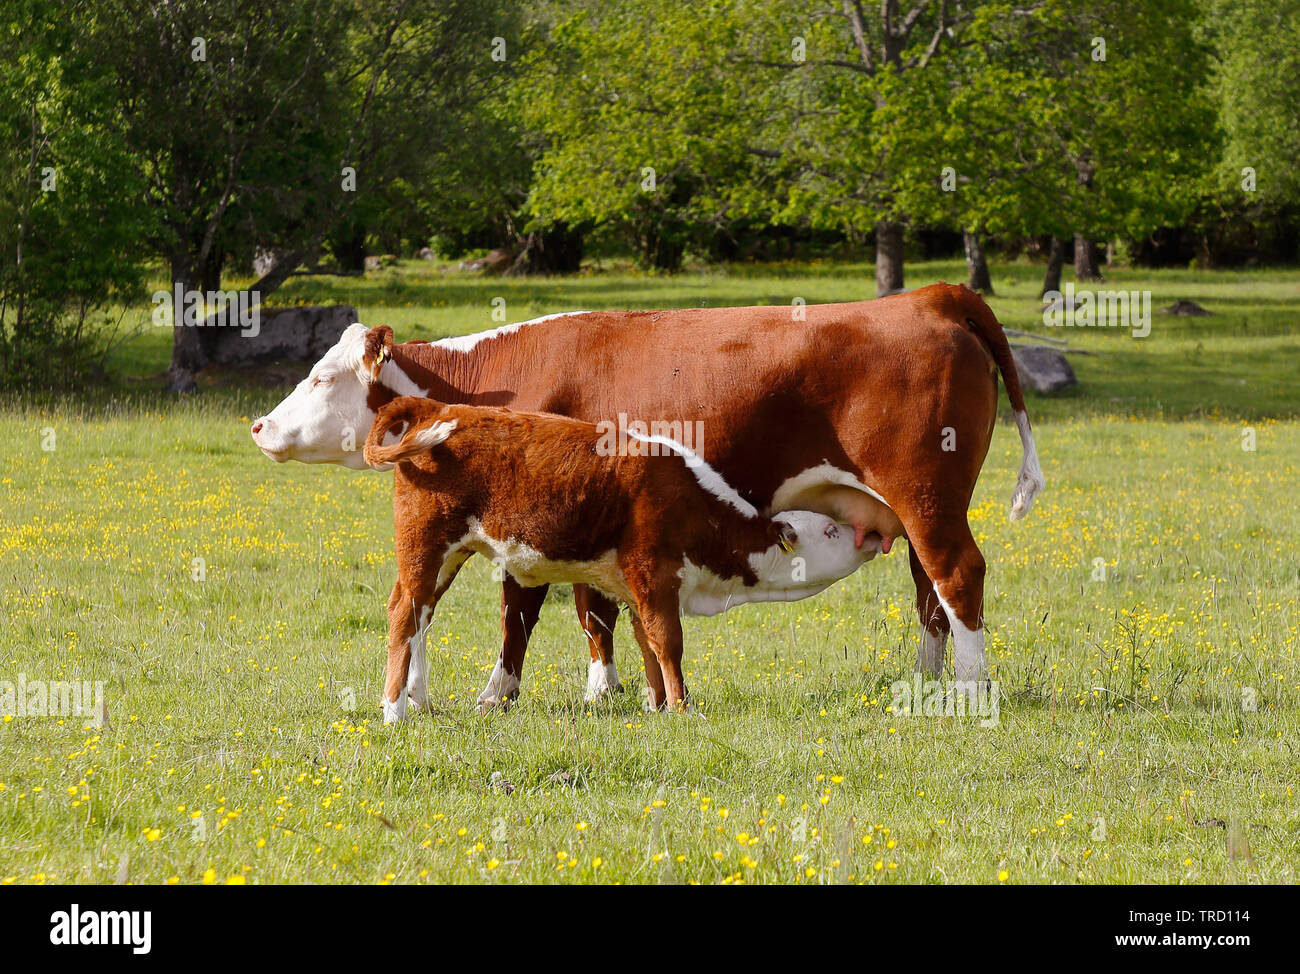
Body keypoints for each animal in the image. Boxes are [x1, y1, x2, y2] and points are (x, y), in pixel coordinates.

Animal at [363, 396, 880, 721]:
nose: (871, 535)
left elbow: (647, 644)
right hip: (425, 546)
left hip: (446, 556)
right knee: (402, 614)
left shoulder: (635, 588)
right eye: (831, 530)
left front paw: (657, 705)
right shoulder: (655, 576)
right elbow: (668, 642)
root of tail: (442, 408)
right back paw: (395, 712)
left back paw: (420, 701)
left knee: (420, 616)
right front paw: (683, 708)